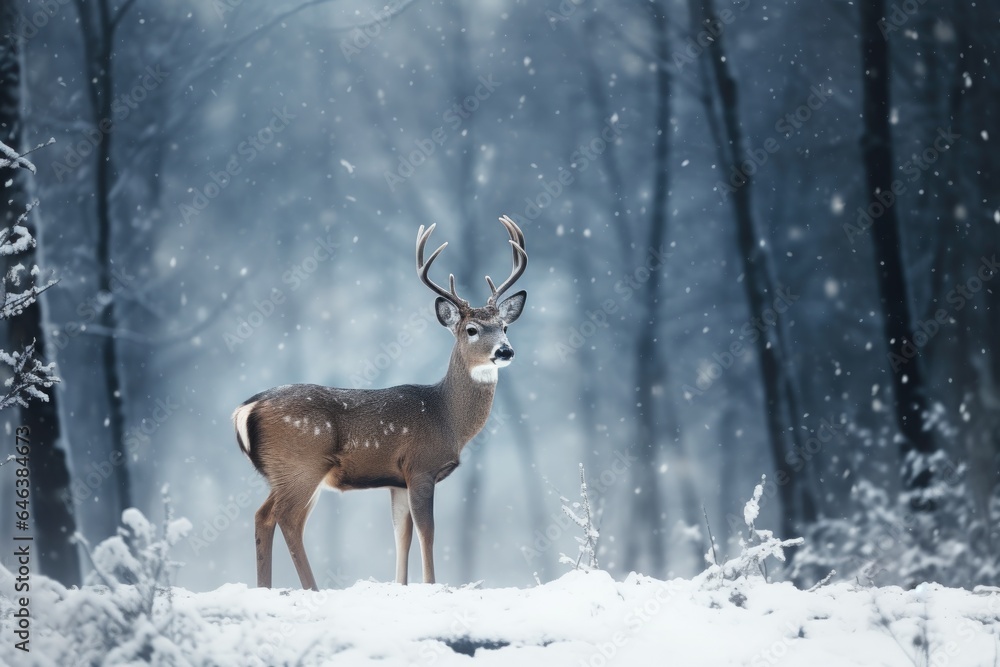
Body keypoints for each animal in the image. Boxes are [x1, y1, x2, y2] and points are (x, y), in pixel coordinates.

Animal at [232, 215, 527, 590]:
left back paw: (267, 587)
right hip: (301, 462)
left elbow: (401, 534)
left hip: (282, 471)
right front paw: (431, 584)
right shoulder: (420, 465)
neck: (446, 418)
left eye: (505, 327)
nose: (505, 351)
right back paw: (311, 587)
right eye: (472, 329)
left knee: (264, 516)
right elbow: (427, 532)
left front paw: (401, 585)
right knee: (285, 517)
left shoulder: (396, 479)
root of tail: (245, 408)